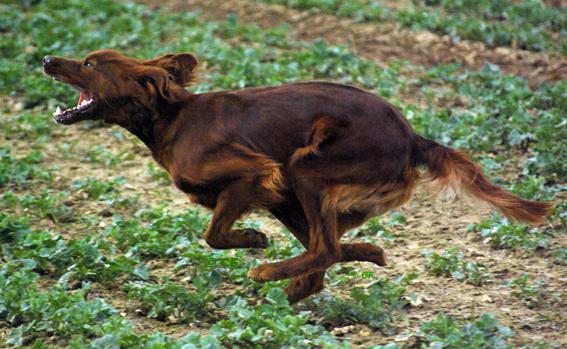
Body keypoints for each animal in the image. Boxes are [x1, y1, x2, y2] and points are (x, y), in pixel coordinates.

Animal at [44, 50, 556, 304]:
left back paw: (271, 273)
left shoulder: (258, 173)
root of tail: (413, 137)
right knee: (325, 250)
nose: (47, 60)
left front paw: (254, 242)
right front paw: (366, 253)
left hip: (303, 168)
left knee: (324, 248)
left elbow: (215, 234)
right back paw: (329, 272)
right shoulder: (274, 193)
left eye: (90, 64)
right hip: (299, 193)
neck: (170, 119)